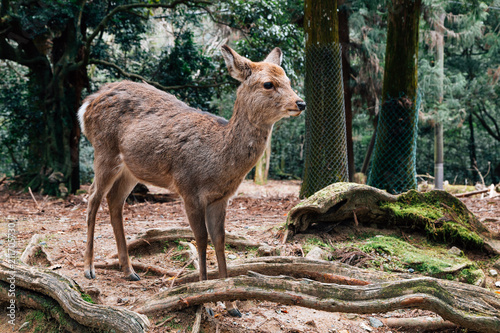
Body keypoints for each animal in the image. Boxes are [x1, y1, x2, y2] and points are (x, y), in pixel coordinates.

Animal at [78, 44, 304, 316]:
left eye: (289, 80)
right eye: (268, 84)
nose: (301, 102)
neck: (218, 159)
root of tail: (86, 105)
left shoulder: (221, 198)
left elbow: (220, 239)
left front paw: (231, 304)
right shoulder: (189, 189)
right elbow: (201, 239)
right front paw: (204, 303)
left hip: (131, 168)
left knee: (114, 201)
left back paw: (129, 271)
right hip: (104, 150)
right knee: (92, 197)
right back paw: (89, 269)